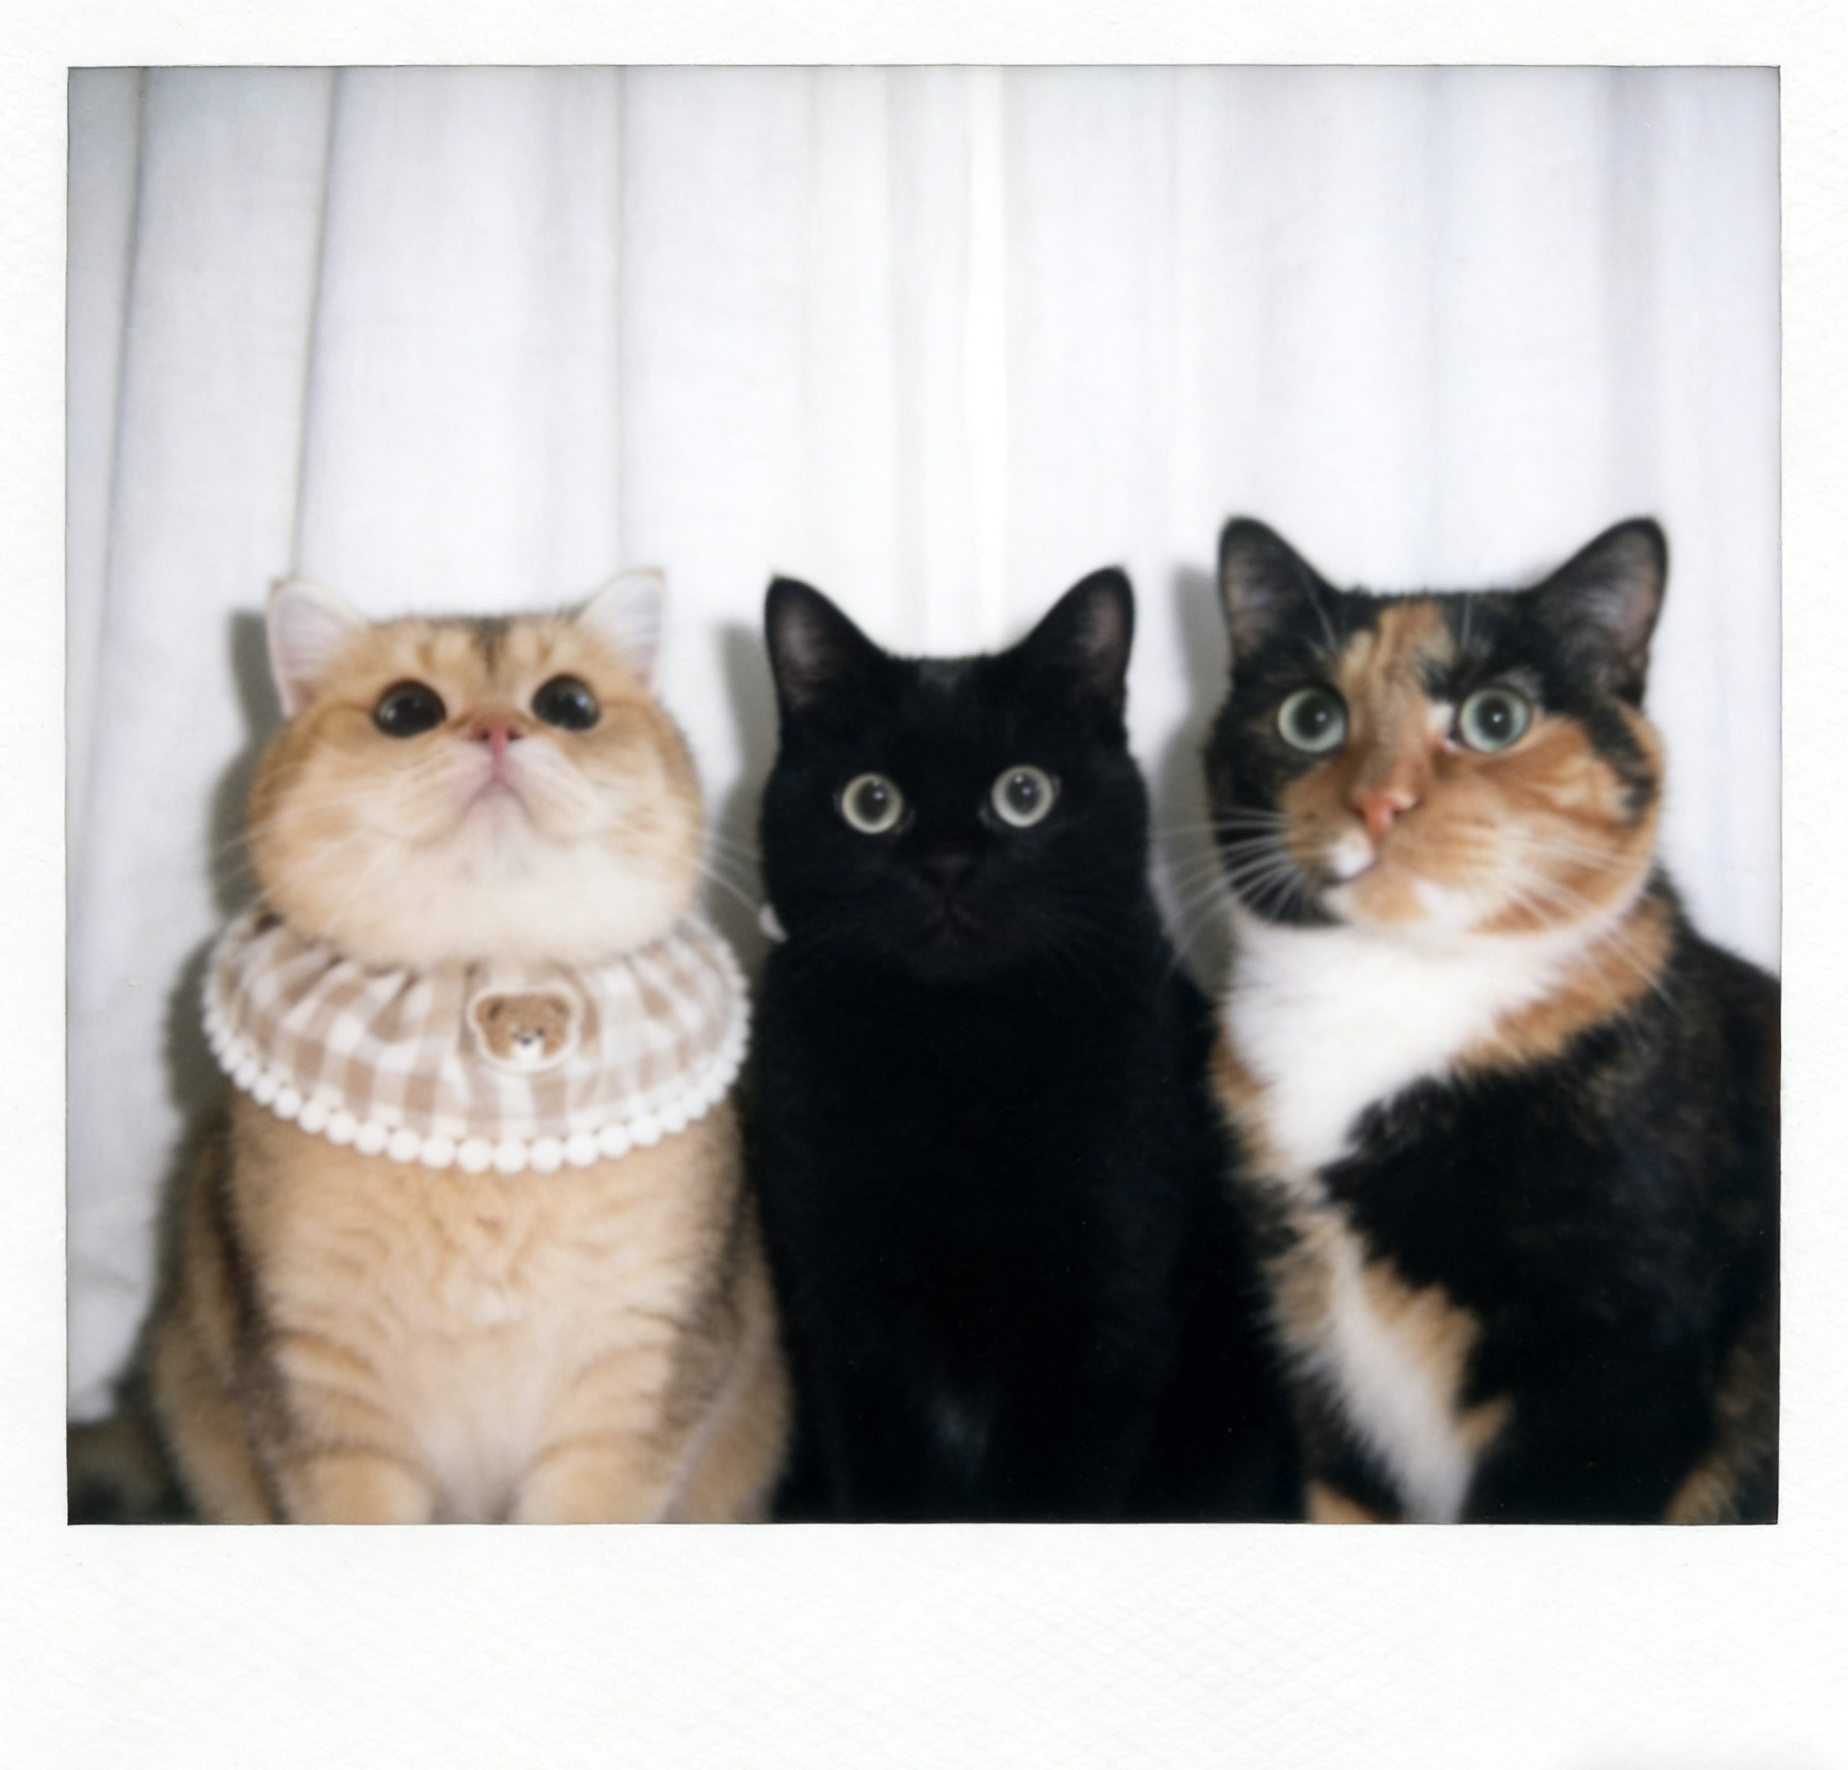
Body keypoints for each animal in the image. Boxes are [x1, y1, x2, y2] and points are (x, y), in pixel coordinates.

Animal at [747, 569, 1299, 1521]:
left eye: (1024, 793)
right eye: (870, 803)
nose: (947, 866)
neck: (955, 1050)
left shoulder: (1105, 1302)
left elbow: (1047, 1490)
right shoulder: (842, 1311)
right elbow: (876, 1479)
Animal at [1201, 515, 1778, 1523]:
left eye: (1494, 718)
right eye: (1309, 716)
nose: (1378, 802)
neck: (1388, 990)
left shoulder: (1618, 1369)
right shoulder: (1318, 1384)